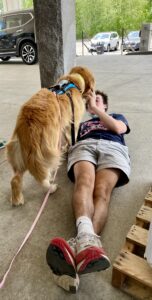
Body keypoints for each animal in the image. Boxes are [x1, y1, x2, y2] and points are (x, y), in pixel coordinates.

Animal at [6, 65, 95, 206]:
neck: (73, 82)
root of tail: (27, 125)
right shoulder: (73, 123)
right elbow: (72, 138)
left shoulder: (64, 125)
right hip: (46, 152)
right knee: (42, 177)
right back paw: (51, 188)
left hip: (19, 153)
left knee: (15, 179)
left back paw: (17, 199)